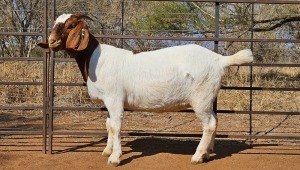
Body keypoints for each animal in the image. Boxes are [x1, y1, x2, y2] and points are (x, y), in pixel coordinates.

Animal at [37, 13, 253, 166]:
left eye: (70, 25)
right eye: (55, 23)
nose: (52, 41)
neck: (95, 59)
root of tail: (219, 59)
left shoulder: (115, 99)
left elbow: (116, 126)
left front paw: (114, 158)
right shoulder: (108, 103)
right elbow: (108, 125)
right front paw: (107, 150)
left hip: (201, 98)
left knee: (209, 124)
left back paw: (197, 156)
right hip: (208, 99)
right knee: (215, 120)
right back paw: (208, 153)